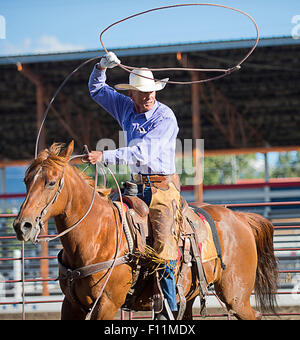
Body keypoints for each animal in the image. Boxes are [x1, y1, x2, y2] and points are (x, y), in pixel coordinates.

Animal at [12, 142, 278, 320]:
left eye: (51, 182)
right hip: (191, 295)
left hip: (236, 296)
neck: (96, 235)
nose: (22, 225)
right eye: (26, 180)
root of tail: (240, 217)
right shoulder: (71, 304)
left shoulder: (106, 304)